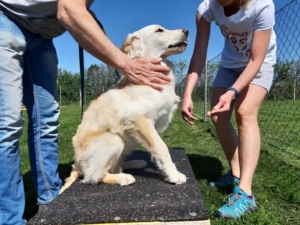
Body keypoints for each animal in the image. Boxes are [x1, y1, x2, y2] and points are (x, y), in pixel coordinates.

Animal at [59, 24, 189, 193]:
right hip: (115, 140)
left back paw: (135, 163)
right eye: (159, 30)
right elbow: (161, 148)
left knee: (115, 166)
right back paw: (123, 178)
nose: (187, 31)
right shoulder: (141, 121)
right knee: (94, 177)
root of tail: (76, 166)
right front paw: (174, 175)